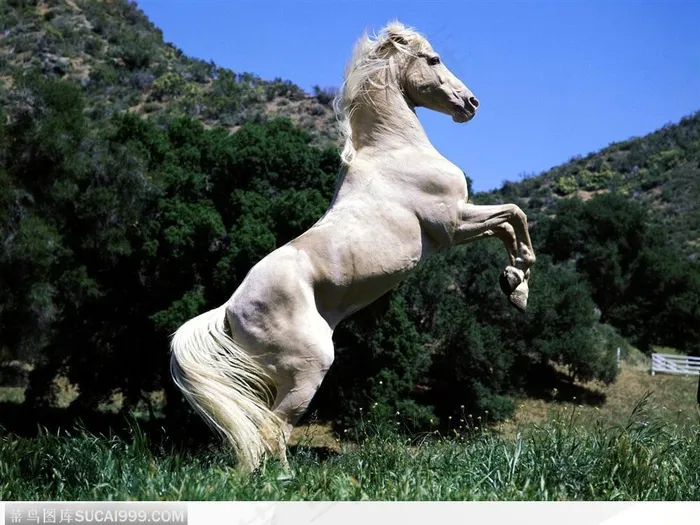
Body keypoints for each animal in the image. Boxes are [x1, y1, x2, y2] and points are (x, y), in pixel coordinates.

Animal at [170, 21, 536, 475]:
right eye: (433, 59)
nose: (471, 103)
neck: (395, 150)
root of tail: (229, 311)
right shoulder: (453, 224)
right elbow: (514, 217)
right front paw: (518, 283)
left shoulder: (459, 223)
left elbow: (510, 223)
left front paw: (514, 286)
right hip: (309, 369)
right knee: (274, 428)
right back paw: (284, 481)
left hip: (274, 378)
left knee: (264, 427)